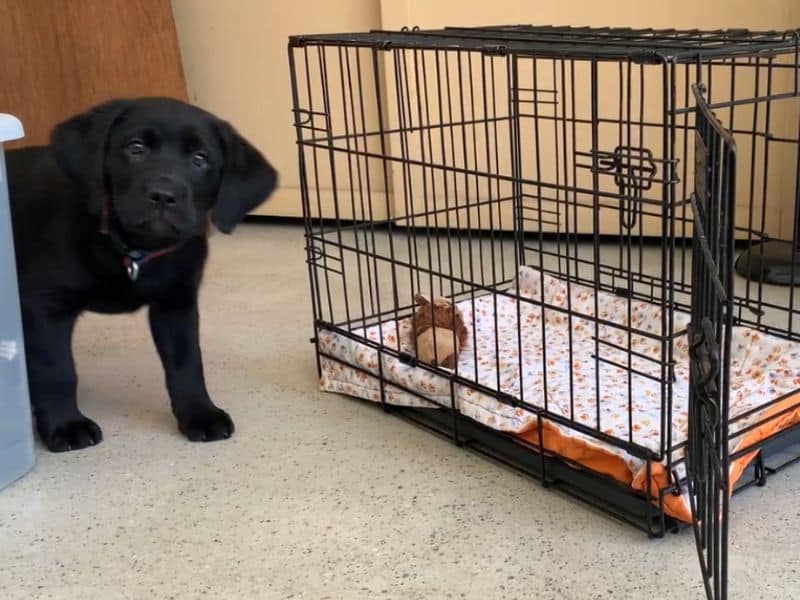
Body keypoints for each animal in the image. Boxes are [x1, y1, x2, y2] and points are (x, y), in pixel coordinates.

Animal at [7, 98, 278, 452]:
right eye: (136, 148)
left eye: (200, 159)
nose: (163, 195)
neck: (133, 249)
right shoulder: (43, 306)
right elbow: (57, 370)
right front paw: (65, 424)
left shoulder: (176, 304)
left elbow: (186, 364)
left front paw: (200, 413)